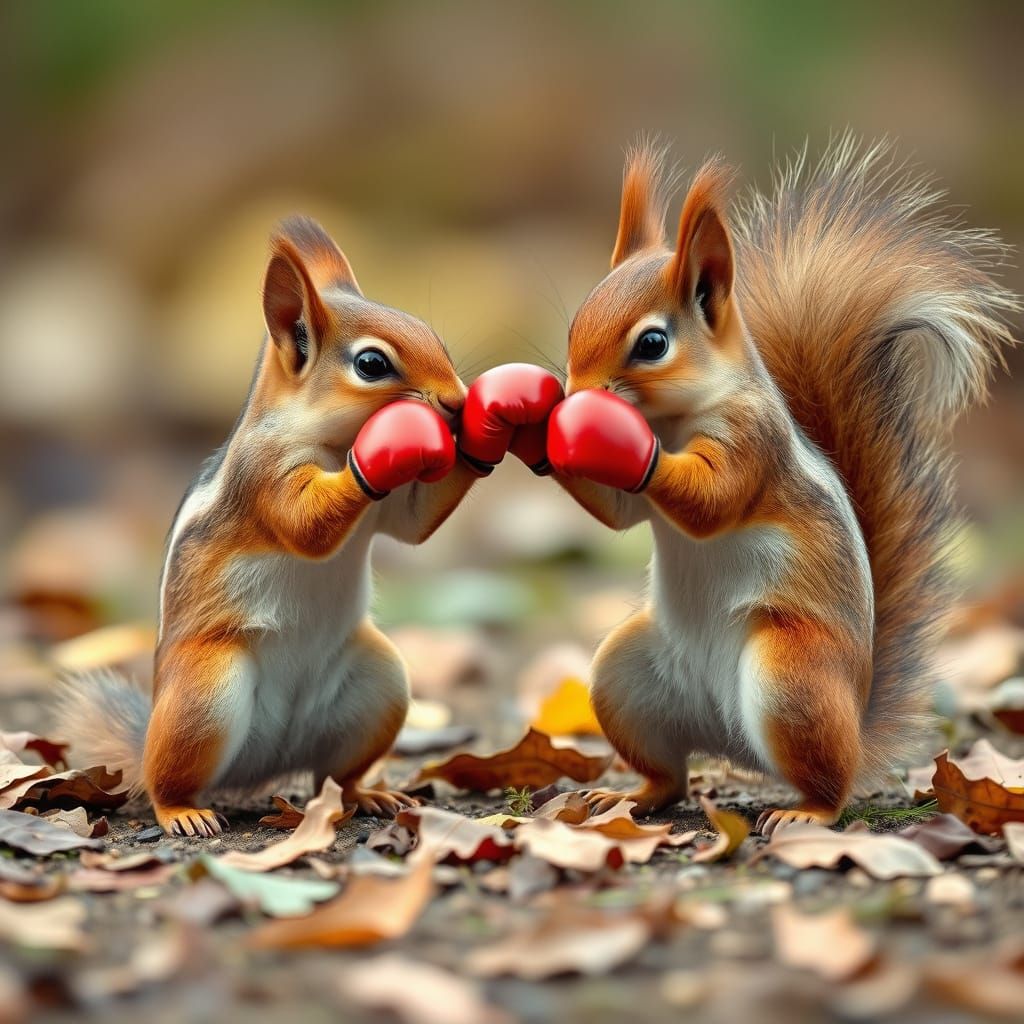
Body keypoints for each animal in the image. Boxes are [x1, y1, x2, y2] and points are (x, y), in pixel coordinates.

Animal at [55, 216, 482, 836]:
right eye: (372, 365)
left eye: (433, 335)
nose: (455, 401)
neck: (331, 440)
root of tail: (266, 763)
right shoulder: (263, 478)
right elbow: (307, 528)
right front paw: (387, 451)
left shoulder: (391, 514)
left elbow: (414, 525)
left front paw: (488, 430)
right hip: (204, 696)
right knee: (164, 779)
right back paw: (183, 812)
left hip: (379, 682)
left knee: (334, 776)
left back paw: (369, 795)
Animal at [530, 138, 1018, 834]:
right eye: (574, 327)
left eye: (652, 343)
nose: (574, 394)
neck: (671, 418)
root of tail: (731, 741)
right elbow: (619, 513)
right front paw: (537, 430)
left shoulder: (752, 443)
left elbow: (711, 503)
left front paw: (614, 444)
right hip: (625, 679)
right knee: (671, 776)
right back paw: (628, 797)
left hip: (793, 681)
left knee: (829, 783)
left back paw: (805, 813)